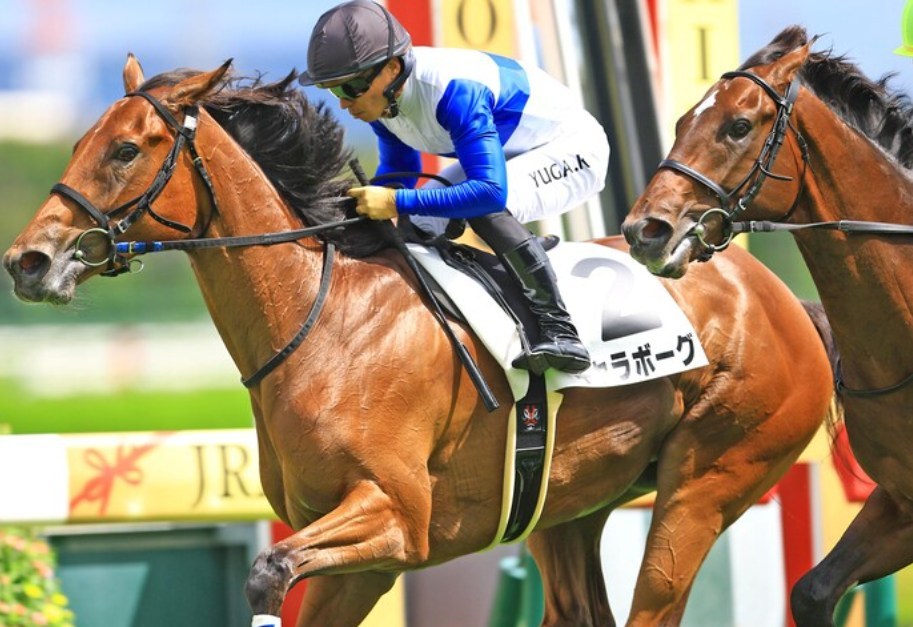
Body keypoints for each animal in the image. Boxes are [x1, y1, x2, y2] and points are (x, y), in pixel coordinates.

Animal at [3, 55, 837, 627]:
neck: (320, 320)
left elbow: (269, 568)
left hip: (706, 481)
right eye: (80, 142)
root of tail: (780, 299)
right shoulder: (353, 552)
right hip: (565, 503)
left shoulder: (394, 519)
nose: (28, 260)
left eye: (127, 149)